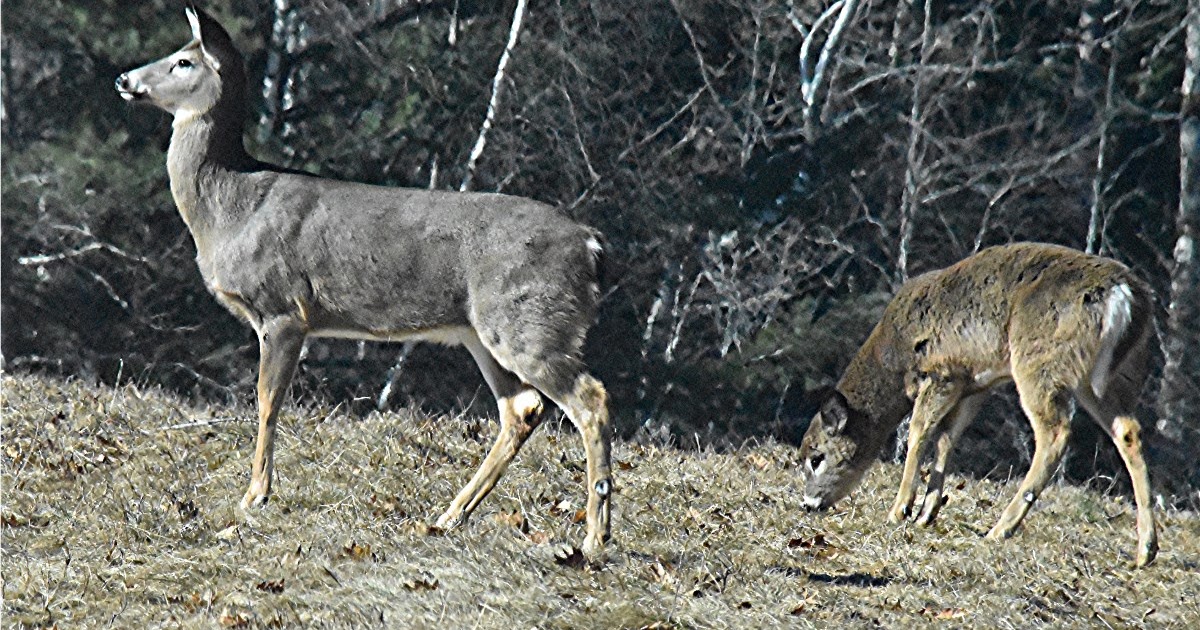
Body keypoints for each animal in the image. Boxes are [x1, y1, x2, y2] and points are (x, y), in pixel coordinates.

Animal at [115, 6, 614, 556]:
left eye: (183, 61)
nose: (124, 79)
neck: (230, 209)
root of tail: (591, 244)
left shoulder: (284, 309)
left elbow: (267, 401)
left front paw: (254, 497)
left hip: (529, 318)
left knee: (591, 400)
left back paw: (594, 535)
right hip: (484, 331)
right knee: (523, 408)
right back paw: (448, 516)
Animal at [797, 242, 1158, 567]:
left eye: (816, 457)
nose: (808, 503)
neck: (894, 358)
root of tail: (1123, 295)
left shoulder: (943, 371)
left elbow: (918, 433)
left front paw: (900, 509)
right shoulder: (974, 384)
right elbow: (946, 439)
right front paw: (927, 512)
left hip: (1040, 362)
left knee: (1054, 433)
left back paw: (1000, 528)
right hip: (1111, 375)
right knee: (1128, 430)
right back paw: (1145, 550)